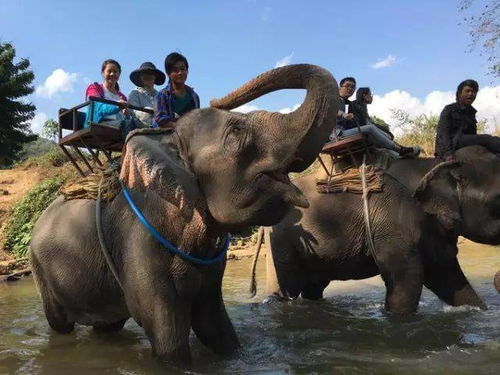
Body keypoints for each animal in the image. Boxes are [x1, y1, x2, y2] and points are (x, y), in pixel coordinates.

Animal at [30, 64, 340, 364]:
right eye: (237, 131)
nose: (217, 99)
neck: (168, 139)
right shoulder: (136, 240)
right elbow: (166, 334)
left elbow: (212, 323)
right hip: (42, 271)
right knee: (60, 324)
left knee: (108, 325)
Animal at [260, 145, 500, 316]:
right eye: (498, 198)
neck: (433, 164)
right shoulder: (394, 225)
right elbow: (407, 282)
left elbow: (448, 278)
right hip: (281, 241)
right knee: (286, 288)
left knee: (314, 287)